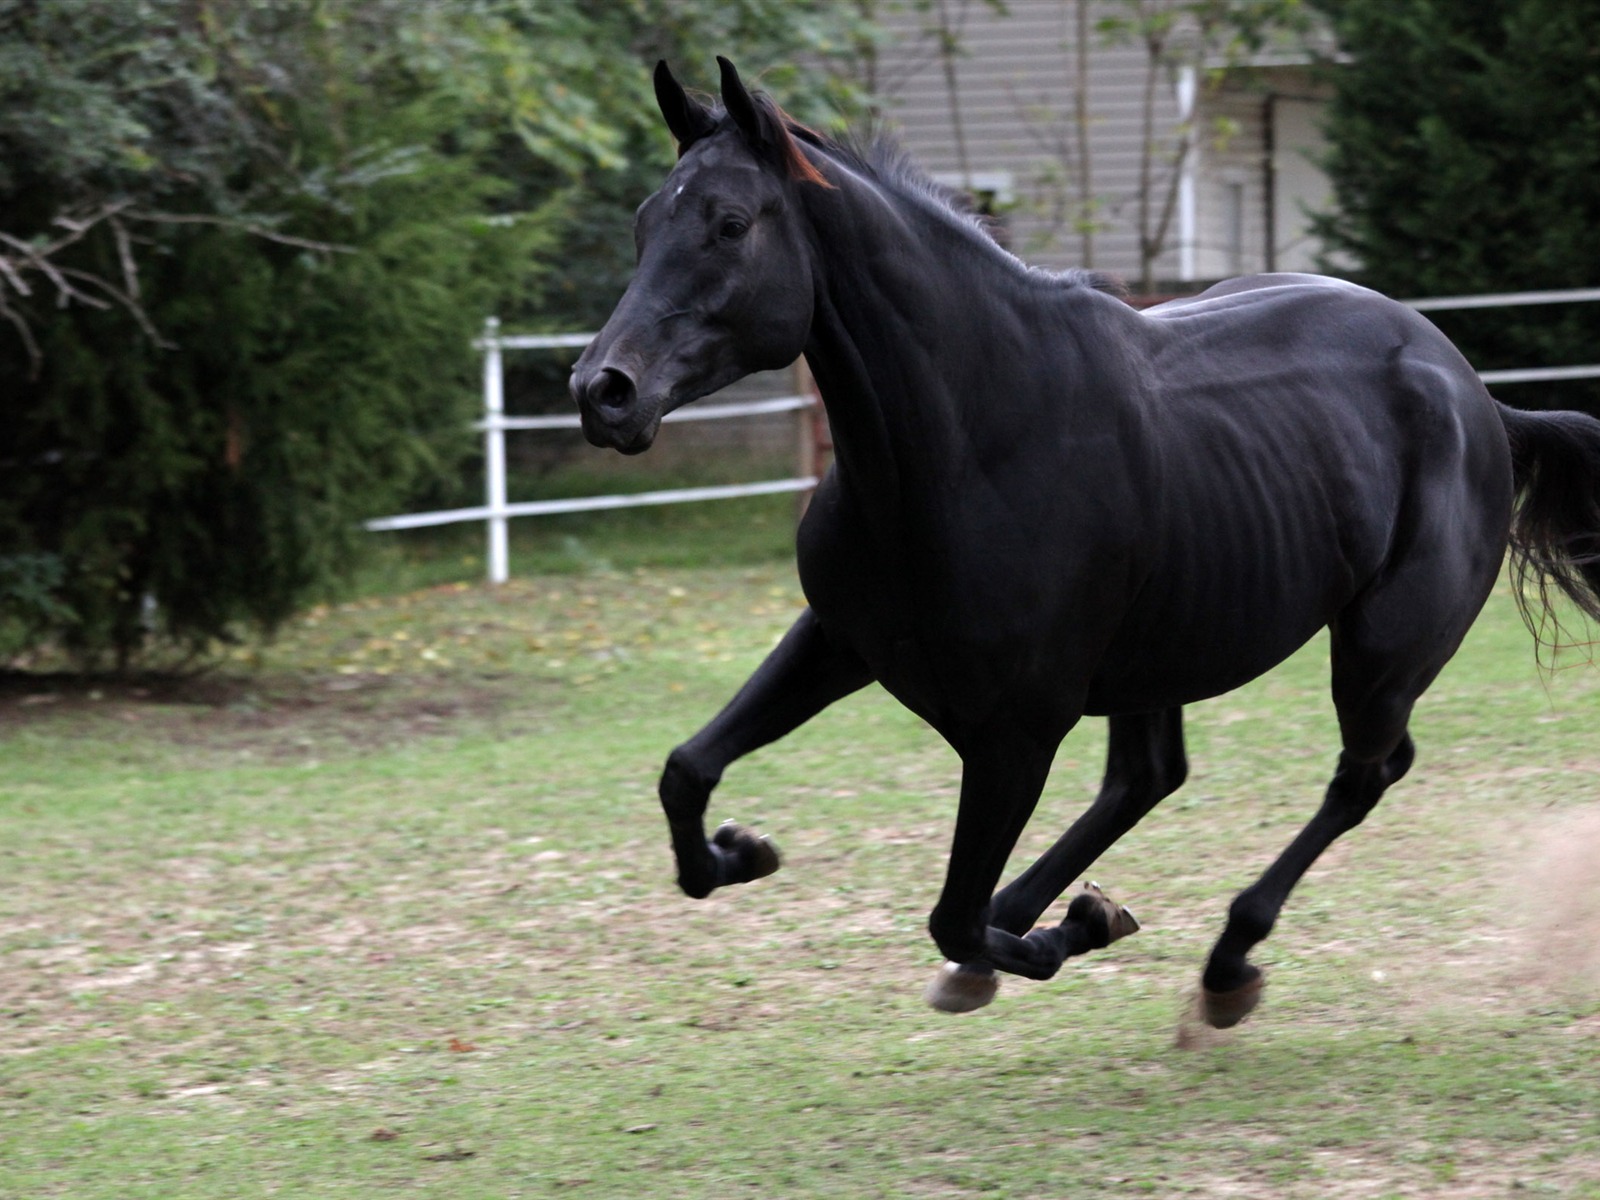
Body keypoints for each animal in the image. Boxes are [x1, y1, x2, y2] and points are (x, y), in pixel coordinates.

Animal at [569, 58, 1600, 1024]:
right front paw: (740, 853)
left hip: (1381, 649)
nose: (603, 391)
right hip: (1167, 646)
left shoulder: (1016, 730)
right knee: (1153, 778)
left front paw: (1075, 930)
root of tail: (1476, 394)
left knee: (1362, 774)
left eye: (730, 224)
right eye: (646, 221)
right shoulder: (841, 640)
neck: (973, 442)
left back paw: (1222, 965)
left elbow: (952, 911)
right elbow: (686, 770)